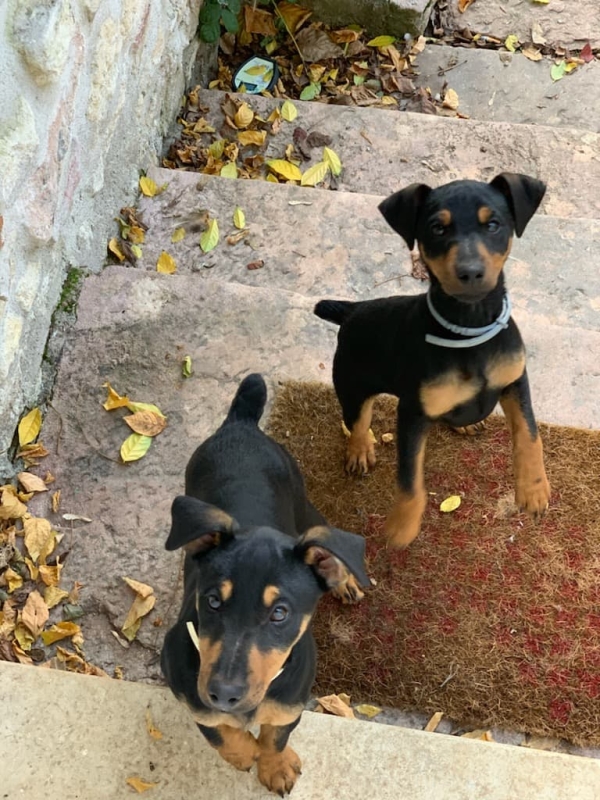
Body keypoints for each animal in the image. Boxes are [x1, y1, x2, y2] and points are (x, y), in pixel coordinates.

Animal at [162, 374, 368, 792]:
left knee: (329, 538)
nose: (223, 695)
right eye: (211, 601)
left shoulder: (292, 701)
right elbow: (218, 731)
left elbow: (277, 734)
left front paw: (275, 766)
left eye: (280, 613)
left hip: (304, 504)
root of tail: (240, 424)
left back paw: (346, 581)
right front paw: (245, 753)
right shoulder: (187, 689)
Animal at [316, 174, 552, 552]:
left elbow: (530, 435)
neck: (469, 326)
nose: (470, 272)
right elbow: (409, 477)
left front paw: (533, 490)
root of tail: (353, 310)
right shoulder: (412, 413)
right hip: (351, 385)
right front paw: (402, 525)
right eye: (437, 228)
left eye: (493, 224)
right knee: (358, 421)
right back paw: (360, 450)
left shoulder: (515, 381)